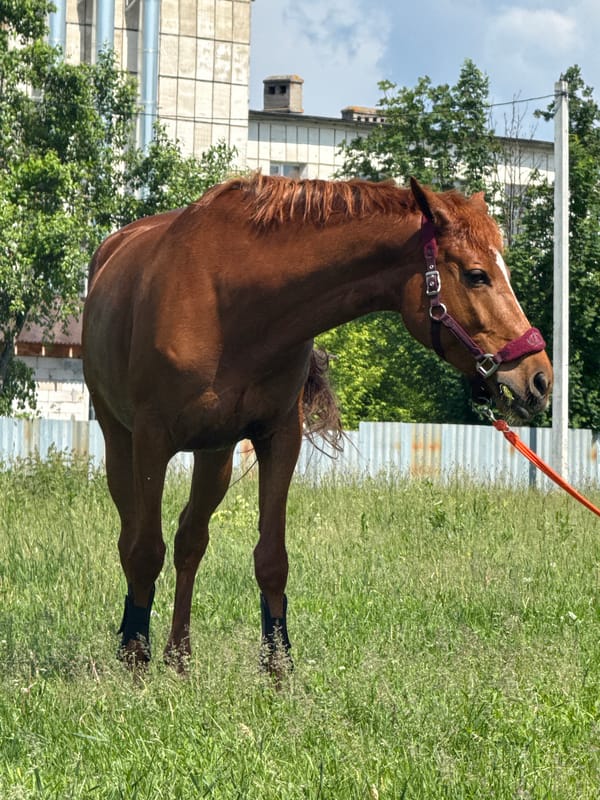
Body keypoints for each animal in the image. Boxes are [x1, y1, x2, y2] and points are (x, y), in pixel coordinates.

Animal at [82, 174, 552, 672]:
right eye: (476, 275)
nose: (540, 377)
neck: (228, 302)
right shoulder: (151, 441)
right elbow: (144, 552)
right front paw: (135, 662)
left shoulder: (280, 439)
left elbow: (271, 560)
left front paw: (278, 671)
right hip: (121, 445)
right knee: (133, 540)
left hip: (216, 455)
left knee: (191, 539)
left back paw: (179, 657)